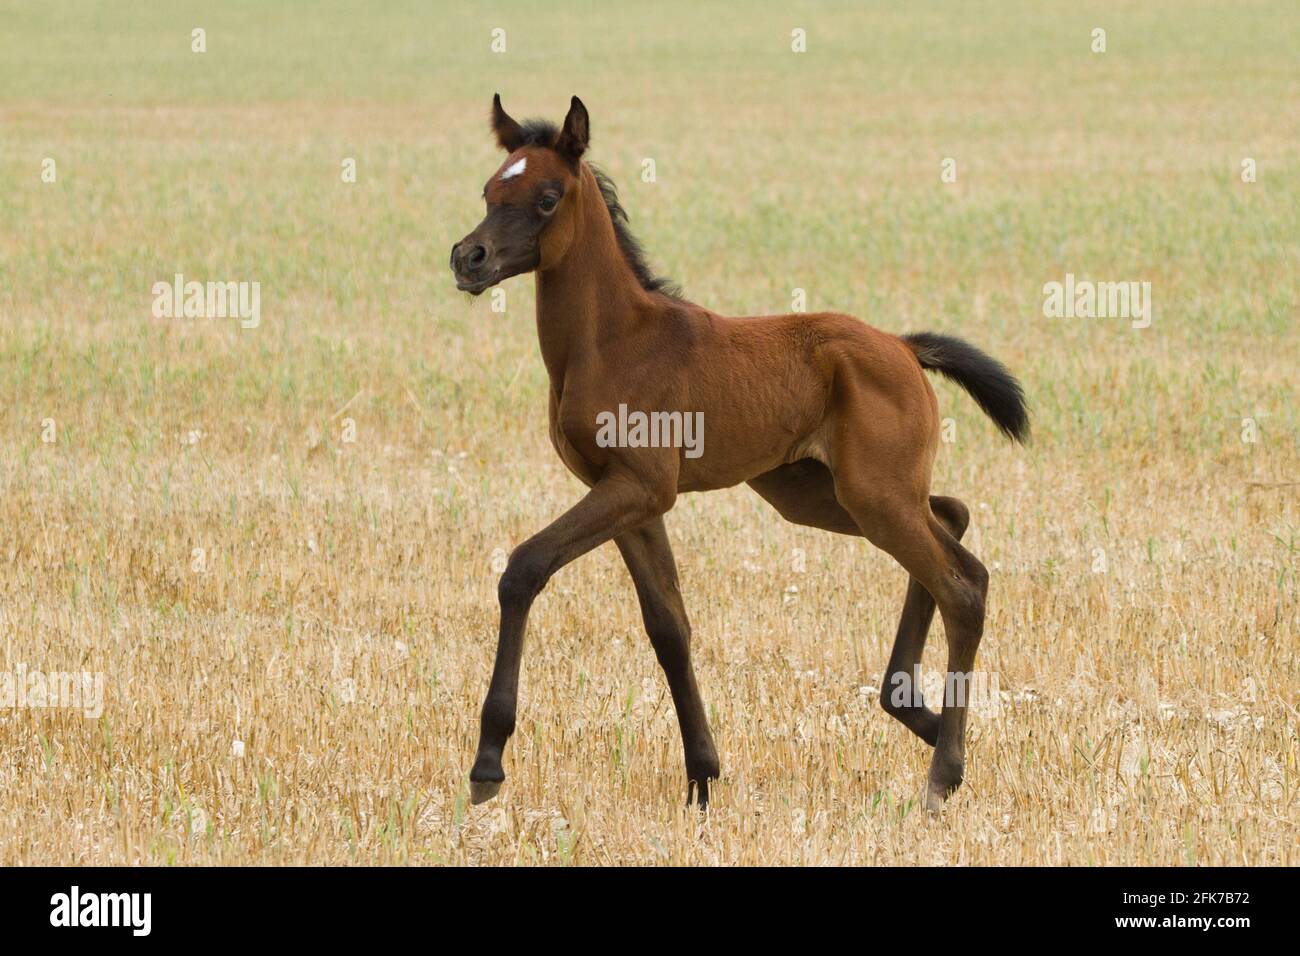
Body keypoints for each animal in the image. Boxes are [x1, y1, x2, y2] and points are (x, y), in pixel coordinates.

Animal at [451, 95, 1028, 812]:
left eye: (547, 197)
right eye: (489, 189)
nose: (468, 257)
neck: (612, 342)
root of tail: (902, 346)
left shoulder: (638, 487)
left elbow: (524, 569)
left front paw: (487, 761)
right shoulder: (631, 499)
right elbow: (669, 627)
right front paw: (703, 775)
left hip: (872, 496)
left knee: (962, 586)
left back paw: (942, 772)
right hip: (818, 491)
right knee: (951, 517)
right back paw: (918, 713)